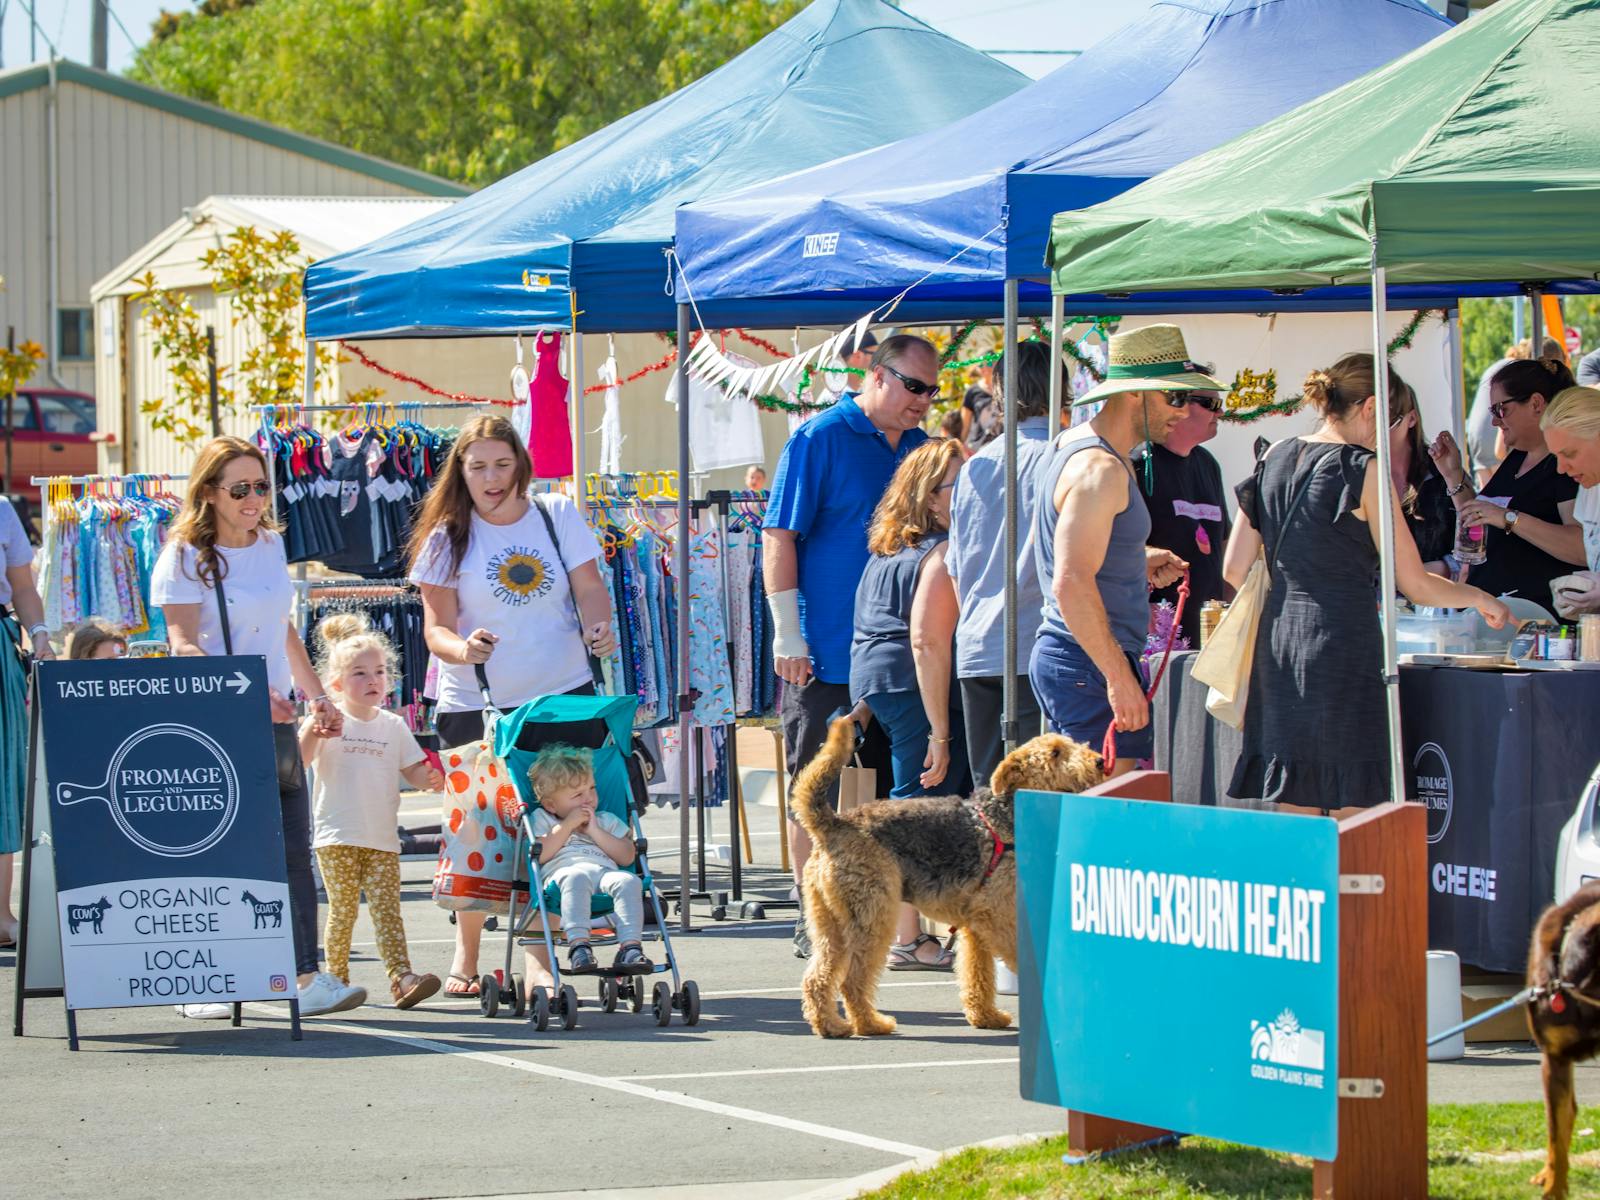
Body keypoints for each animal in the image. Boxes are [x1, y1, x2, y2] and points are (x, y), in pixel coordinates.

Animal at [787, 720, 1100, 1036]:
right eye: (1055, 753)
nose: (1099, 761)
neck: (1006, 816)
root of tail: (833, 824)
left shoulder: (976, 924)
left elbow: (978, 974)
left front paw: (986, 1016)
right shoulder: (997, 915)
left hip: (830, 923)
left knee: (817, 978)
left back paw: (831, 1025)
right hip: (873, 917)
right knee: (852, 980)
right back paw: (871, 1024)